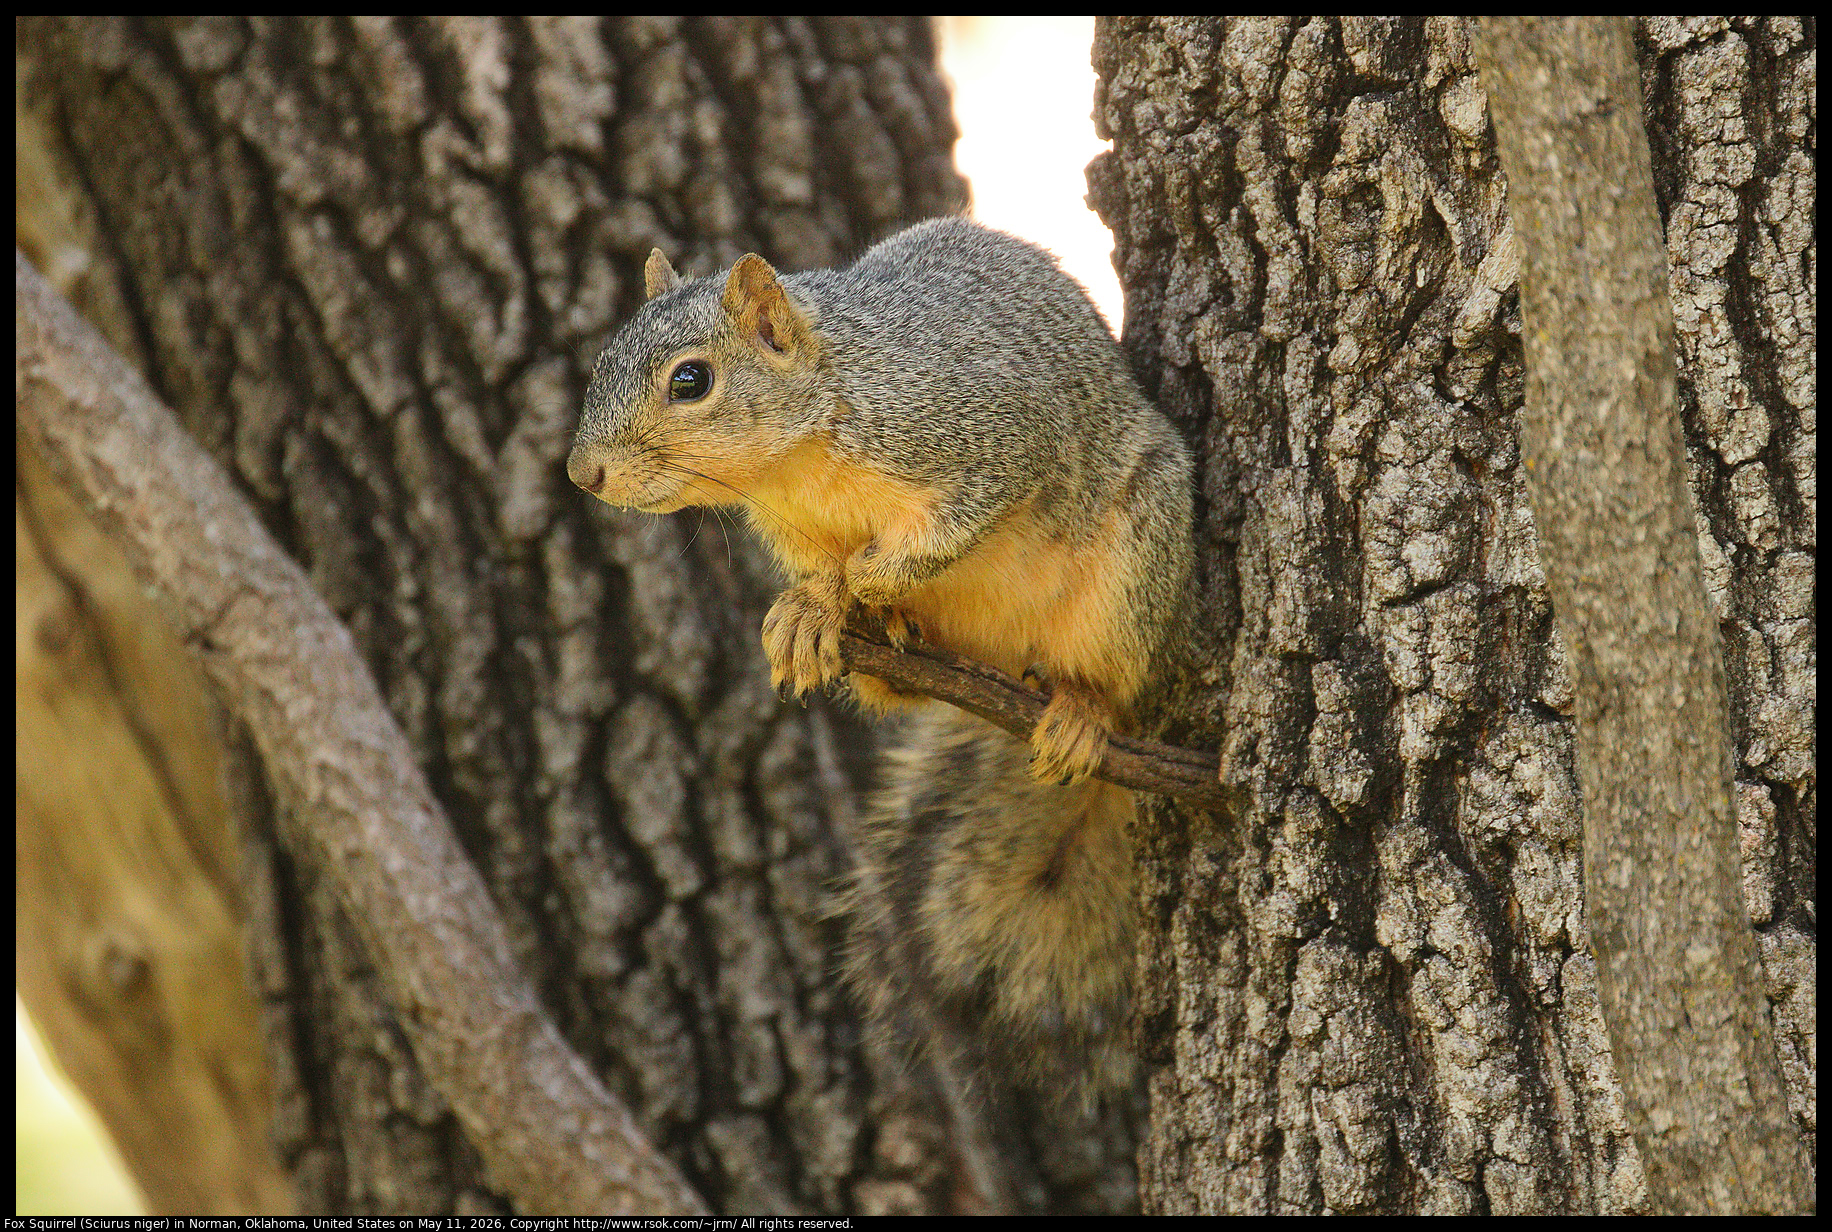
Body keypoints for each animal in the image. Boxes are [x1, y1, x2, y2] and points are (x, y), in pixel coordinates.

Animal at [567, 216, 1193, 1089]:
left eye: (690, 381)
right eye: (601, 364)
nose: (580, 473)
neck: (798, 458)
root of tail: (1014, 678)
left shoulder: (986, 442)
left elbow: (948, 531)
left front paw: (869, 579)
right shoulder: (795, 530)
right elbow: (821, 576)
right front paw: (818, 608)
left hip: (1135, 569)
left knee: (1115, 682)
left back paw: (1078, 711)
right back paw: (897, 642)